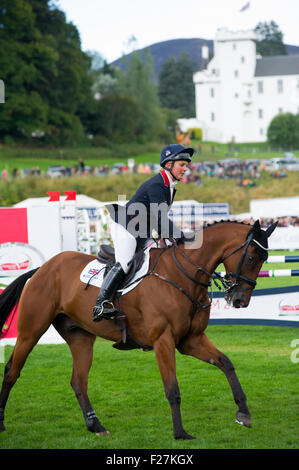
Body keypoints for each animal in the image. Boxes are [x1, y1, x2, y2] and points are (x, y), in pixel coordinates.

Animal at [0, 220, 276, 440]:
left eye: (263, 260)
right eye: (251, 258)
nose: (240, 300)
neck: (183, 275)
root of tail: (43, 268)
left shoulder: (191, 340)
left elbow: (226, 363)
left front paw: (243, 413)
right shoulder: (163, 341)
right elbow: (172, 388)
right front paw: (180, 433)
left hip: (80, 338)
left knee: (78, 381)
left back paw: (96, 425)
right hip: (31, 331)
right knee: (12, 370)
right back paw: (2, 422)